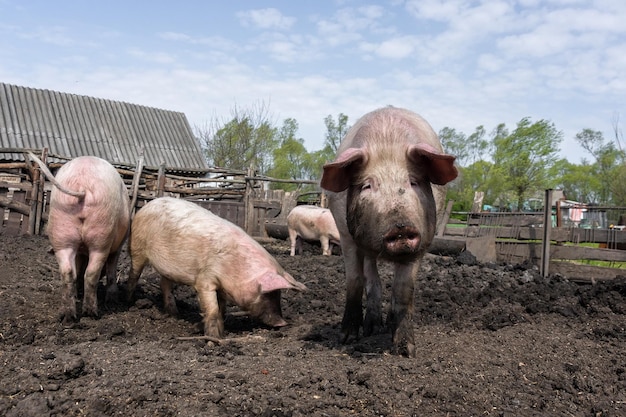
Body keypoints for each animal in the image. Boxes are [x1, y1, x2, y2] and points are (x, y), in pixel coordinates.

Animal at [28, 154, 130, 324]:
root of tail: (82, 185)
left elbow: (78, 267)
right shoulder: (117, 247)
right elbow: (110, 269)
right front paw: (112, 300)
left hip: (61, 229)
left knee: (68, 272)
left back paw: (68, 316)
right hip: (102, 232)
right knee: (91, 273)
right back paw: (91, 313)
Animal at [125, 197, 306, 336]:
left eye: (279, 294)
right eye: (268, 294)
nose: (282, 323)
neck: (236, 266)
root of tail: (148, 204)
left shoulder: (223, 287)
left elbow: (222, 309)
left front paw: (204, 329)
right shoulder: (205, 279)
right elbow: (212, 309)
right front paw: (214, 339)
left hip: (168, 269)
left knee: (165, 284)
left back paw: (174, 313)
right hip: (137, 247)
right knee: (134, 274)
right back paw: (129, 301)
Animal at [320, 105, 456, 356]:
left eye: (413, 182)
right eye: (367, 185)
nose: (400, 227)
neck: (386, 142)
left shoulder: (421, 243)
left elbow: (403, 289)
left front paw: (406, 350)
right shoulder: (345, 236)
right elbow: (355, 281)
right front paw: (346, 338)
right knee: (371, 279)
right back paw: (372, 328)